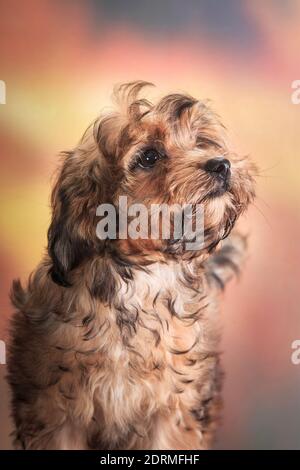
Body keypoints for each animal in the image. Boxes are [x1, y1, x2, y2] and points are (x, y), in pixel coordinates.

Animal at [7, 82, 255, 450]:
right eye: (148, 157)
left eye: (201, 142)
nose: (221, 164)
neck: (142, 279)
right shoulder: (56, 412)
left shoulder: (174, 412)